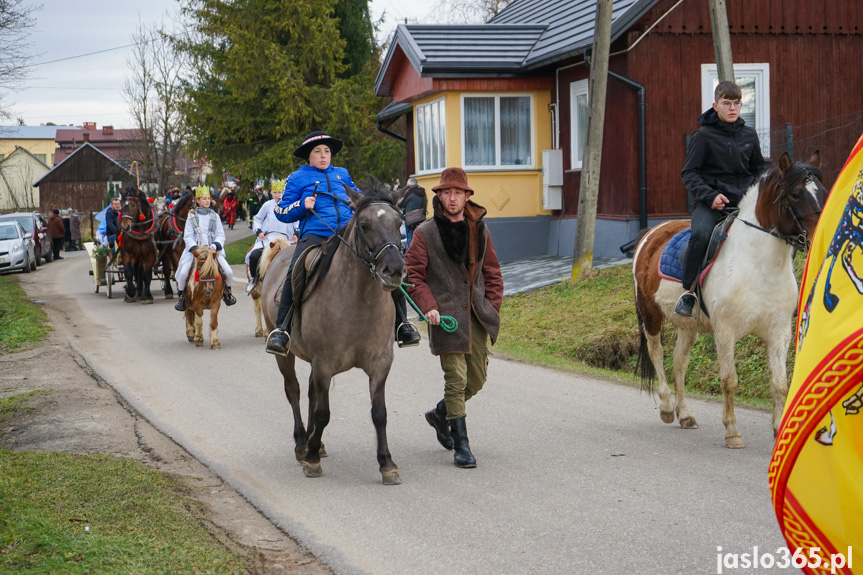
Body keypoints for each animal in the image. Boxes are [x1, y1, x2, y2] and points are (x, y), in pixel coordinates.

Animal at [262, 183, 406, 486]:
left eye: (398, 223)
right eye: (364, 225)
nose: (395, 270)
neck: (359, 300)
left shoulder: (381, 364)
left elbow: (379, 414)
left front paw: (387, 464)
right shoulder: (324, 364)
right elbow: (323, 413)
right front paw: (311, 459)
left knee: (309, 391)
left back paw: (314, 442)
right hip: (285, 353)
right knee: (294, 390)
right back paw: (303, 443)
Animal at [636, 153, 832, 450]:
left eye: (821, 190)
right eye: (796, 193)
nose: (822, 235)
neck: (759, 266)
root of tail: (653, 232)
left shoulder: (779, 332)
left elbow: (780, 383)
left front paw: (778, 431)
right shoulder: (725, 332)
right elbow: (729, 381)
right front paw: (732, 432)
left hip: (688, 326)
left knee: (679, 363)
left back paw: (686, 415)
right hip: (651, 314)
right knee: (657, 354)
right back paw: (668, 408)